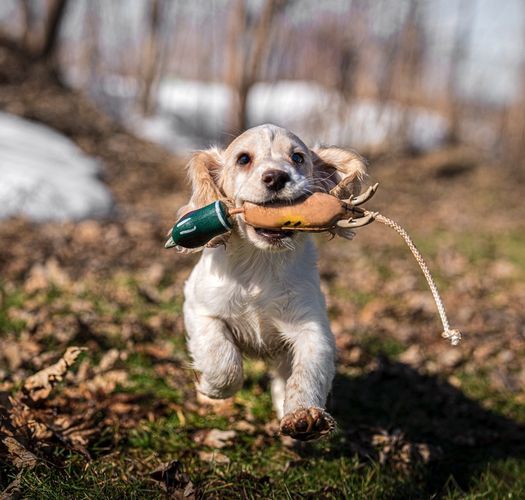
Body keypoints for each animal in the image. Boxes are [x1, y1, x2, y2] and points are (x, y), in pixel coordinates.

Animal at [179, 125, 364, 442]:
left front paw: (304, 416)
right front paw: (208, 388)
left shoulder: (312, 326)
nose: (276, 177)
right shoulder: (199, 309)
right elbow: (223, 361)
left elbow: (308, 372)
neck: (260, 263)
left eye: (298, 157)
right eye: (243, 159)